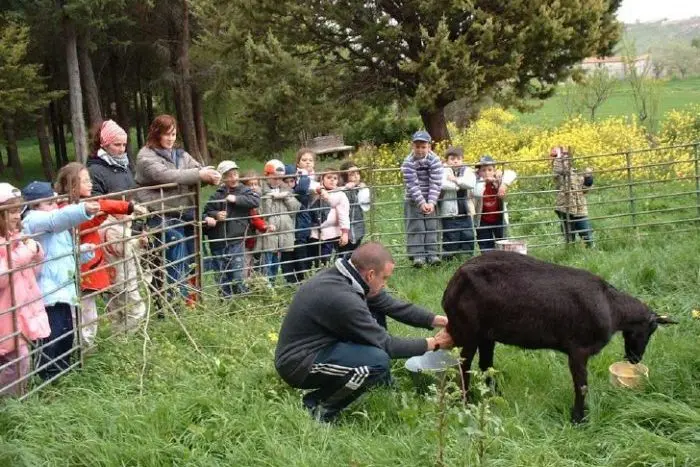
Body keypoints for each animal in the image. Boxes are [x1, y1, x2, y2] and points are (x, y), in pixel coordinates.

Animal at [442, 252, 680, 424]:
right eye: (650, 330)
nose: (635, 359)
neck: (613, 308)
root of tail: (451, 285)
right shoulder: (578, 349)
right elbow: (581, 385)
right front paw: (578, 419)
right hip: (468, 331)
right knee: (461, 366)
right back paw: (464, 403)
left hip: (486, 334)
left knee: (485, 365)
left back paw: (495, 396)